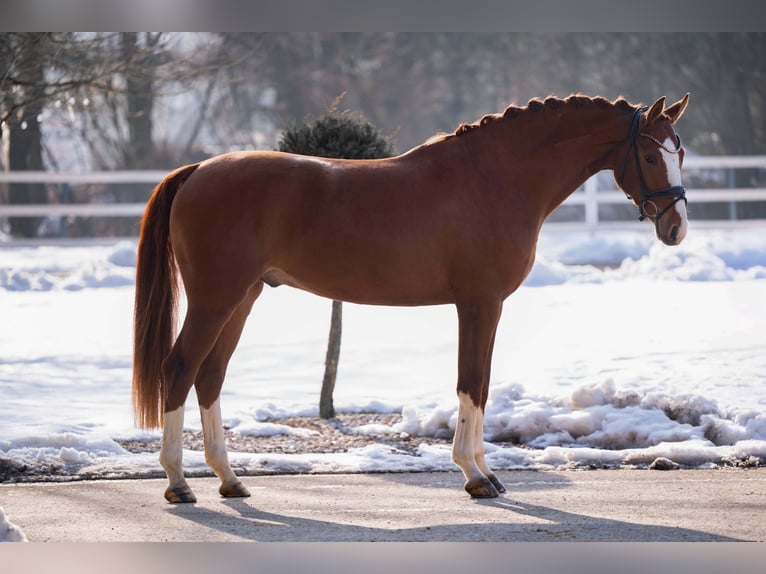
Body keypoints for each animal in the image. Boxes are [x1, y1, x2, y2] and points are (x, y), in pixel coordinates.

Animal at [133, 93, 690, 503]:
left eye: (679, 153)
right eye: (648, 154)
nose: (676, 228)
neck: (494, 177)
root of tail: (199, 170)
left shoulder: (488, 307)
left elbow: (482, 384)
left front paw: (486, 472)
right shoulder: (479, 303)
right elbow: (470, 383)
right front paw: (474, 476)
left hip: (242, 297)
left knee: (210, 375)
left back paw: (229, 480)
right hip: (215, 299)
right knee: (179, 368)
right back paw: (178, 484)